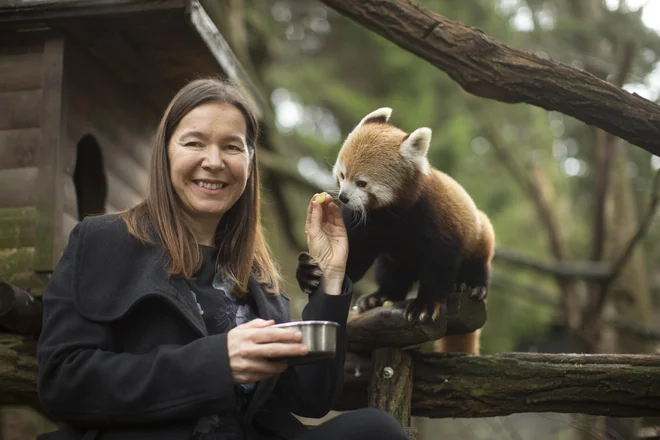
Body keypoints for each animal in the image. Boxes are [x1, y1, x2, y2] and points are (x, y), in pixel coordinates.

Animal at [330, 106, 496, 354]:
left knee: (479, 260)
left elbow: (439, 264)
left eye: (361, 183)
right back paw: (379, 297)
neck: (391, 214)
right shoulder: (365, 223)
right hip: (395, 261)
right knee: (391, 273)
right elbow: (356, 255)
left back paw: (472, 285)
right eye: (342, 175)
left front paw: (425, 305)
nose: (343, 197)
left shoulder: (435, 220)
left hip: (479, 233)